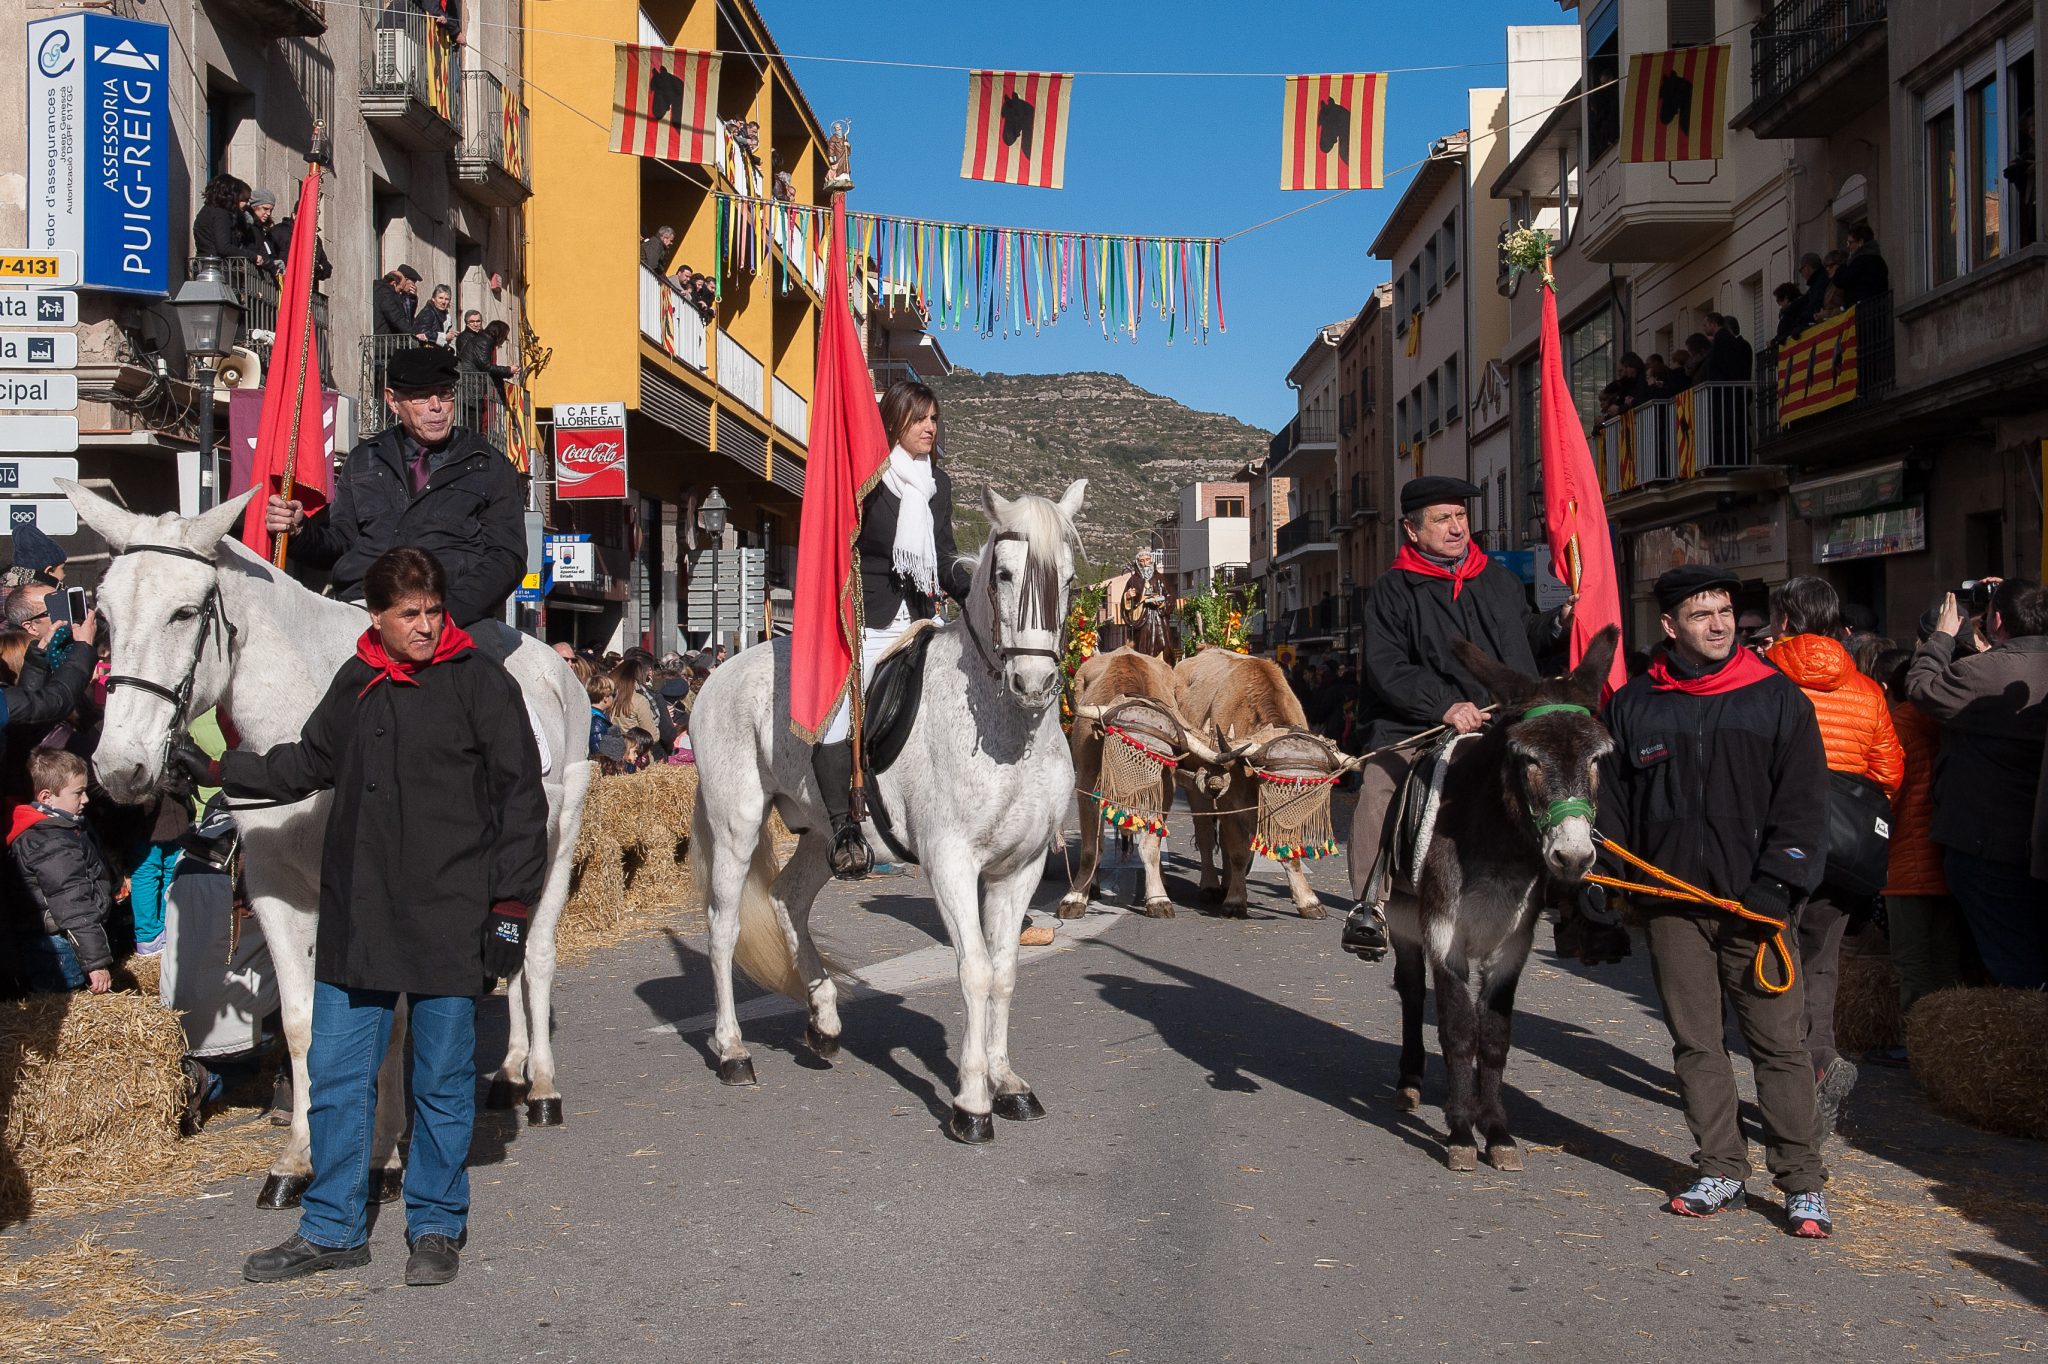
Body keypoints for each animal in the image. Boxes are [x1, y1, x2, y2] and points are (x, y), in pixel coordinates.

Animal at [61, 477, 593, 1204]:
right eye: (107, 617)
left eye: (184, 612)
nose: (122, 766)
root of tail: (556, 668)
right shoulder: (277, 895)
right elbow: (302, 1023)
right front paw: (299, 1157)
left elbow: (391, 1023)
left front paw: (383, 1157)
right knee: (507, 965)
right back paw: (509, 1074)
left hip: (555, 851)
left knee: (534, 956)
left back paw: (540, 1086)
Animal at [692, 477, 1089, 1138]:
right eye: (1006, 574)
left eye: (1070, 577)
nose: (1032, 685)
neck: (1008, 731)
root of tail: (719, 675)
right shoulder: (952, 863)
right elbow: (975, 970)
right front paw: (972, 1102)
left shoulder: (1022, 866)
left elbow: (1004, 971)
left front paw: (1008, 1083)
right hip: (735, 826)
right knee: (723, 929)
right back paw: (732, 1052)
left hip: (823, 835)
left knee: (788, 899)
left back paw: (824, 1021)